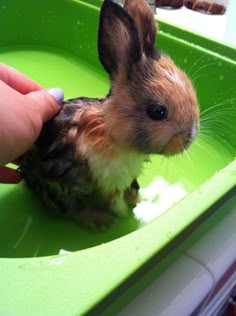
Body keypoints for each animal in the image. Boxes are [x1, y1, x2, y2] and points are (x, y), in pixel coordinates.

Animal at [20, 0, 199, 228]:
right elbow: (115, 202)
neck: (115, 134)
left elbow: (133, 186)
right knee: (68, 209)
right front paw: (121, 216)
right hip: (56, 188)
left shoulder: (129, 176)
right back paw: (98, 220)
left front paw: (138, 200)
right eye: (158, 112)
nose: (192, 135)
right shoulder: (110, 180)